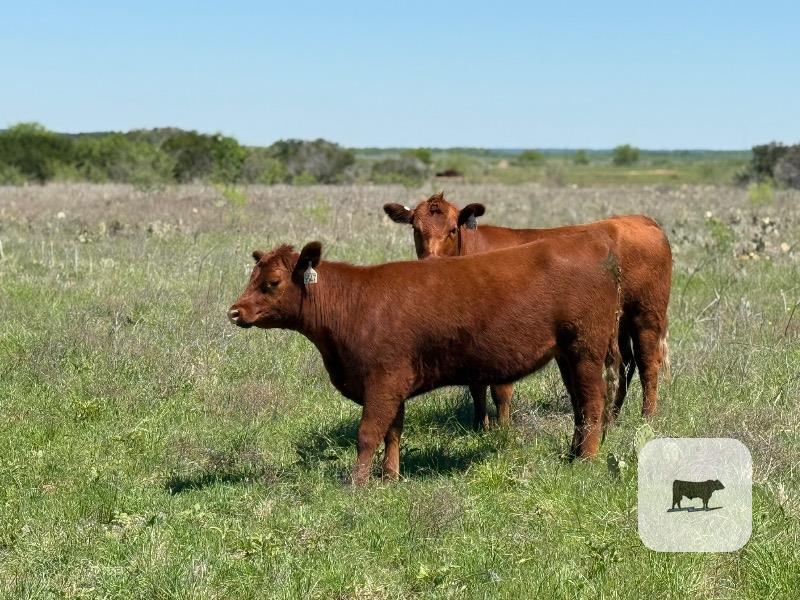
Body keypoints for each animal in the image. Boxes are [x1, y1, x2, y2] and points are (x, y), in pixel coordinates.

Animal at [228, 233, 622, 485]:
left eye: (272, 282)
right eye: (253, 276)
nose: (235, 311)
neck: (354, 304)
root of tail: (596, 243)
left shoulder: (382, 381)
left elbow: (368, 434)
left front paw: (357, 484)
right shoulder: (394, 384)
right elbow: (393, 432)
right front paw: (390, 477)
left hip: (586, 349)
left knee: (593, 402)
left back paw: (586, 461)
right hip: (567, 355)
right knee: (580, 406)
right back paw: (572, 454)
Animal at [383, 192, 671, 428]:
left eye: (453, 229)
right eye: (416, 229)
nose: (430, 261)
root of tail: (643, 220)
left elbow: (500, 390)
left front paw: (502, 429)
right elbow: (476, 385)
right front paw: (479, 426)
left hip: (647, 313)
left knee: (648, 363)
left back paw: (647, 418)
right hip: (618, 321)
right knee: (624, 364)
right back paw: (612, 417)